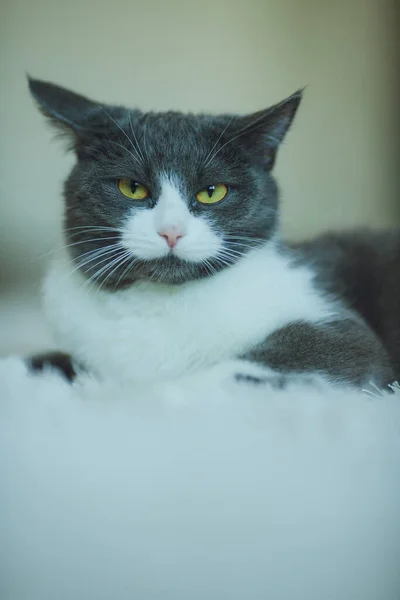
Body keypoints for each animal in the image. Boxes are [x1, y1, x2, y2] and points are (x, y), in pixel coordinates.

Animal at [26, 78, 398, 390]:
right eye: (131, 188)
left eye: (212, 192)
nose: (171, 231)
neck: (161, 304)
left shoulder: (337, 329)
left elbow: (216, 375)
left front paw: (121, 398)